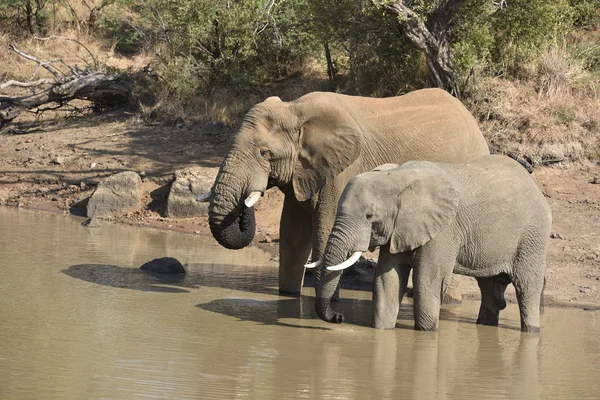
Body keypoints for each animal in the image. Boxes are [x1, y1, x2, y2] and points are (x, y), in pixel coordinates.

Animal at [205, 89, 488, 296]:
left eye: (266, 153)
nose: (249, 199)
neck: (295, 109)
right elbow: (292, 234)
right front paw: (288, 297)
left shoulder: (341, 170)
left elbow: (324, 229)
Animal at [310, 155, 552, 332]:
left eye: (370, 216)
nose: (339, 316)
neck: (396, 177)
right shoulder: (400, 228)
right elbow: (387, 280)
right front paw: (382, 331)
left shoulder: (444, 229)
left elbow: (427, 280)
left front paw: (426, 333)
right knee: (489, 288)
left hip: (533, 235)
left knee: (527, 287)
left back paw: (531, 332)